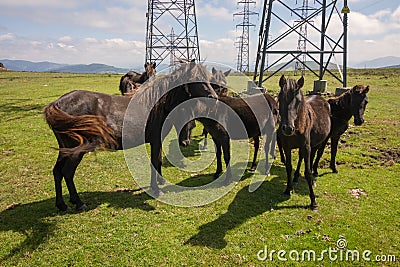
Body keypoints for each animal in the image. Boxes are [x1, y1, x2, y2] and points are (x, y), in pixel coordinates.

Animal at [44, 62, 217, 211]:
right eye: (197, 79)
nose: (214, 97)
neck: (158, 104)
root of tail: (57, 104)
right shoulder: (155, 141)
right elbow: (154, 162)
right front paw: (156, 189)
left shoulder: (157, 142)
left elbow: (159, 161)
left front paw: (160, 181)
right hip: (76, 151)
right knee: (67, 173)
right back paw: (78, 202)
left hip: (65, 149)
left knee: (57, 172)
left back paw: (62, 204)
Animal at [278, 75, 332, 211]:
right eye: (280, 98)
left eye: (298, 101)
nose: (288, 128)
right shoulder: (286, 147)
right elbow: (288, 167)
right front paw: (288, 189)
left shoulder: (306, 146)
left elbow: (307, 172)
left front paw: (313, 202)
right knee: (302, 158)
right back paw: (296, 178)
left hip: (316, 143)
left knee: (312, 157)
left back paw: (312, 179)